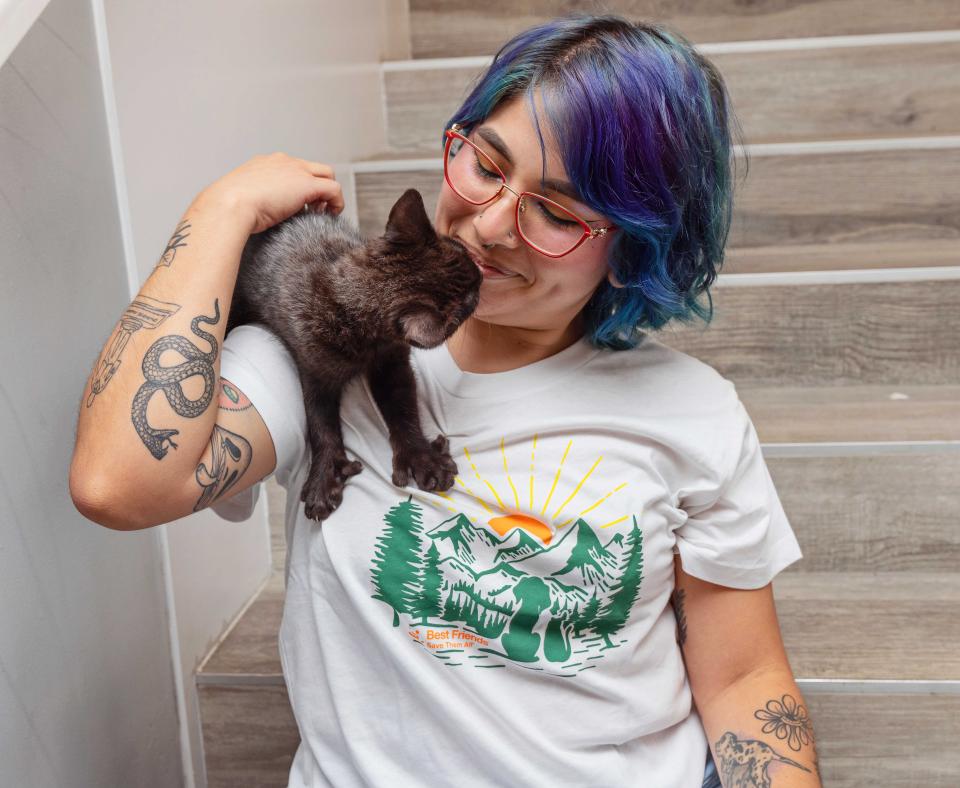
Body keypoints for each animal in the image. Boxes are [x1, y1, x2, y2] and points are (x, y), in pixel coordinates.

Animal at [225, 189, 480, 524]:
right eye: (468, 303)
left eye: (463, 252)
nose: (480, 275)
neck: (350, 300)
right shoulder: (314, 373)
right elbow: (321, 426)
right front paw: (324, 478)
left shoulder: (393, 366)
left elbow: (403, 411)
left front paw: (422, 458)